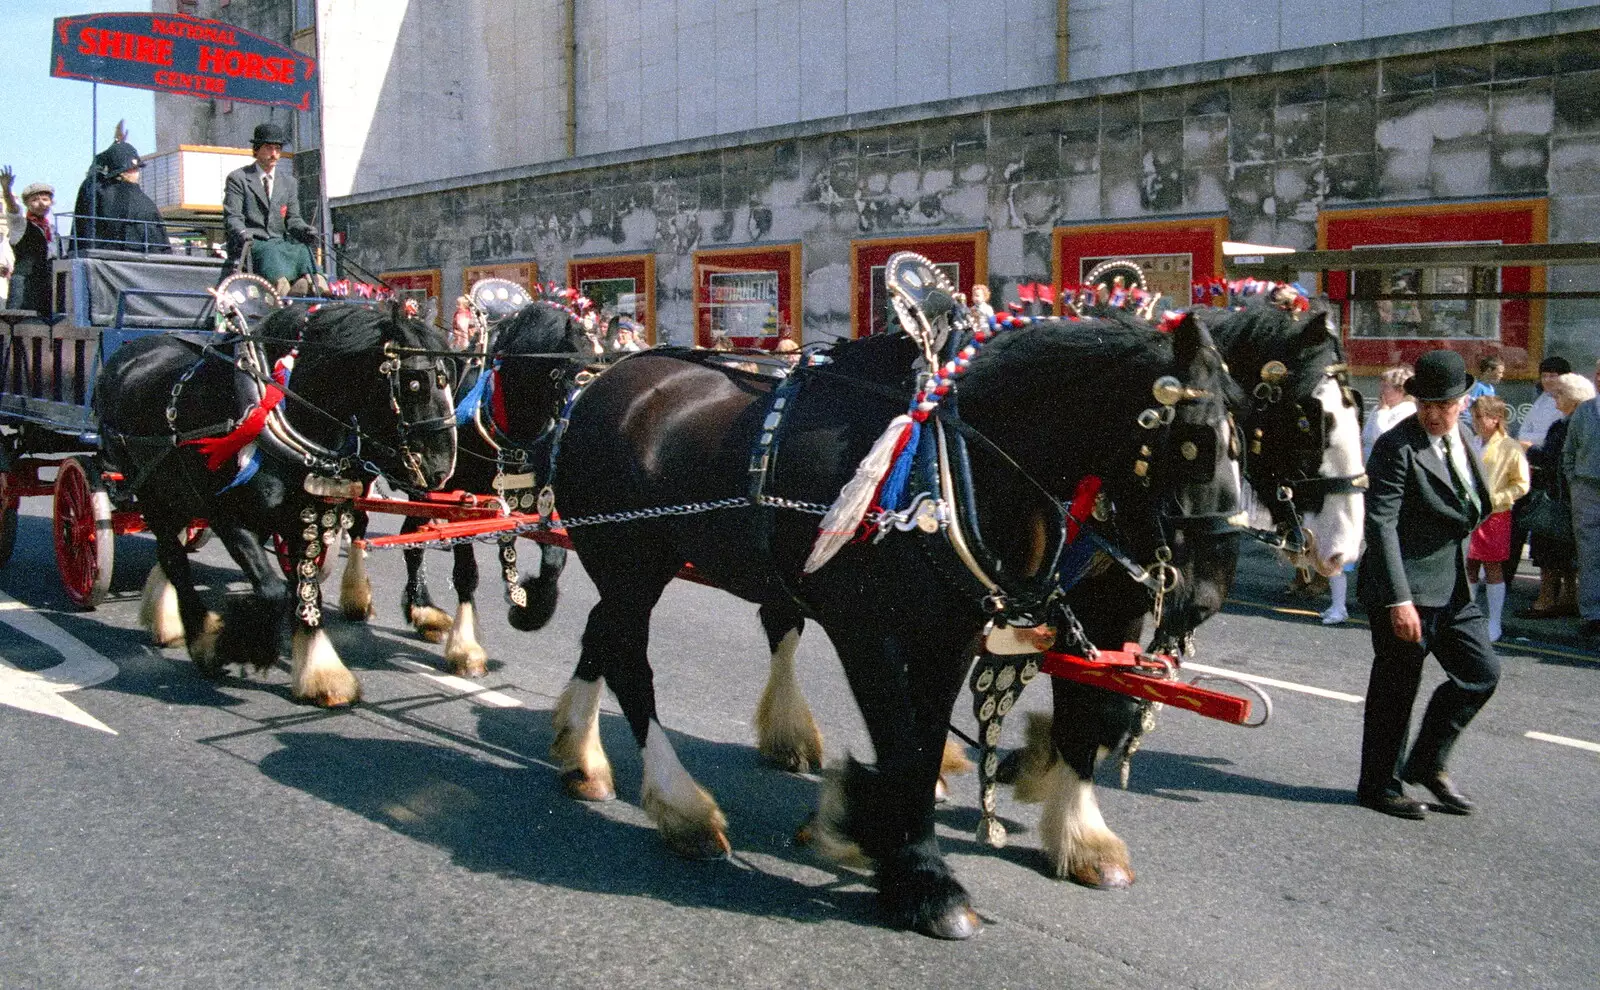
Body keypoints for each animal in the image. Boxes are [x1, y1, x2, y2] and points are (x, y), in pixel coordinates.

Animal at [98, 300, 457, 703]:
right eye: (415, 382)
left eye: (452, 378)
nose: (441, 469)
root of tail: (128, 352)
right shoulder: (228, 517)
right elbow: (271, 590)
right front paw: (237, 644)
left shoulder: (304, 519)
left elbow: (306, 589)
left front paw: (321, 674)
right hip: (150, 493)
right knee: (173, 558)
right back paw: (199, 636)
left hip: (175, 494)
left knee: (172, 551)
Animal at [340, 291, 592, 678]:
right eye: (562, 373)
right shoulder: (463, 506)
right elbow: (466, 573)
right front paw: (467, 650)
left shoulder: (532, 503)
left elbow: (554, 559)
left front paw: (528, 607)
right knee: (361, 524)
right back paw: (363, 599)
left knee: (411, 538)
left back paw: (422, 610)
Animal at [537, 308, 1235, 940]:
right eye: (1191, 444)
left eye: (1243, 442)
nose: (1202, 595)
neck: (942, 466)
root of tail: (603, 379)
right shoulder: (864, 628)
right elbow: (902, 747)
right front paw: (922, 879)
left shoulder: (951, 633)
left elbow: (934, 747)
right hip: (631, 561)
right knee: (630, 661)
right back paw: (680, 805)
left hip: (633, 570)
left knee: (601, 633)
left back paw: (582, 758)